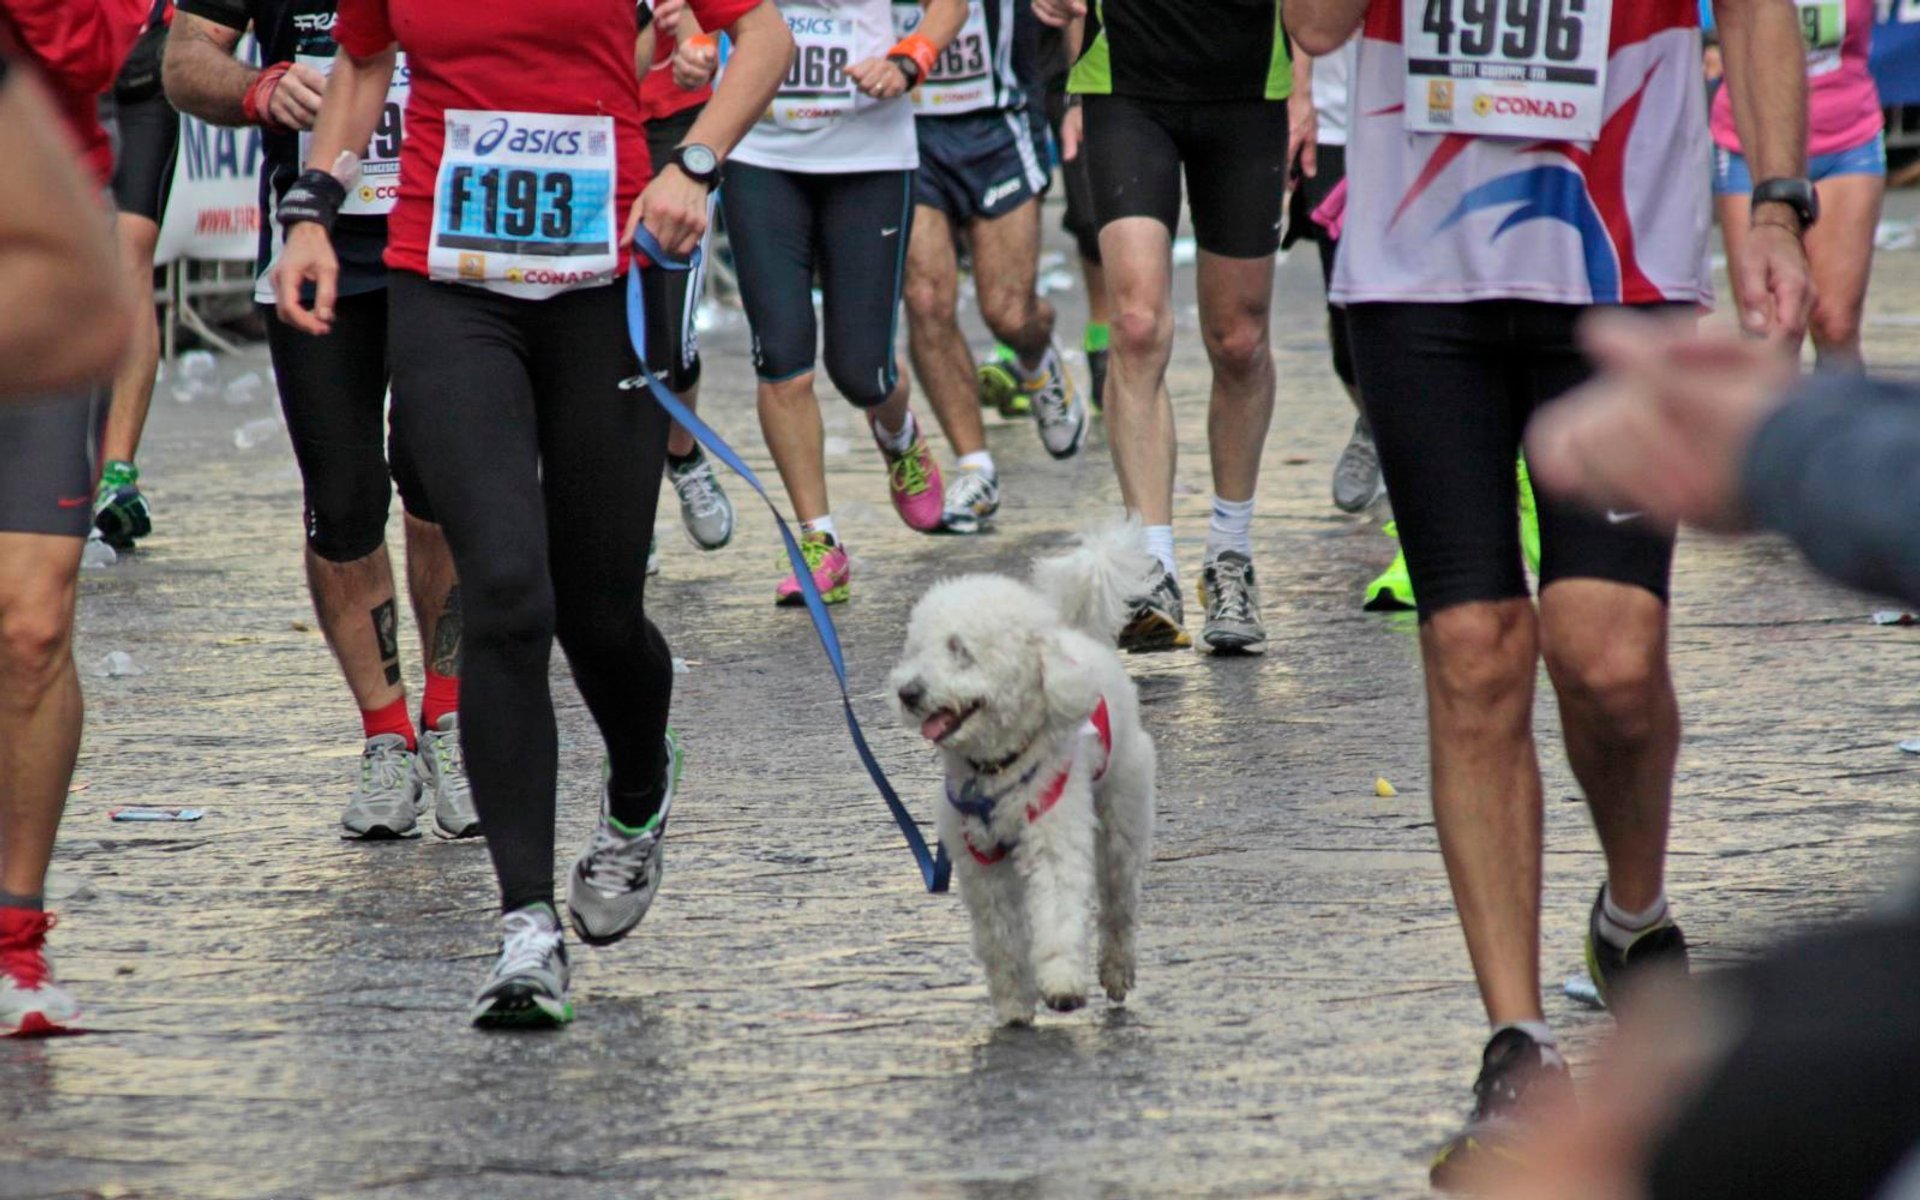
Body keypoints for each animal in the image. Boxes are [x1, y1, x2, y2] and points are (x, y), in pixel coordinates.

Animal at [887, 522, 1152, 1021]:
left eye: (960, 650)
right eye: (916, 649)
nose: (908, 692)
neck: (996, 766)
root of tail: (1076, 633)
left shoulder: (1053, 837)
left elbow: (1058, 911)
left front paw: (1063, 984)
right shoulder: (981, 862)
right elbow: (1002, 937)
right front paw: (1013, 1003)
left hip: (1122, 816)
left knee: (1118, 904)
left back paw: (1116, 970)